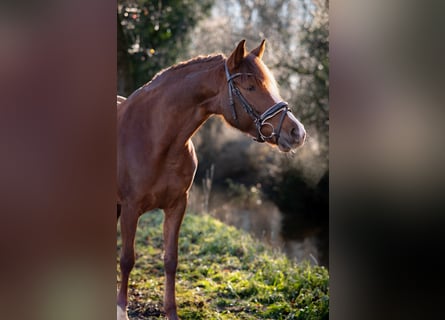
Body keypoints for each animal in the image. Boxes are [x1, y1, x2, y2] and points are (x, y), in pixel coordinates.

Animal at [118, 40, 306, 320]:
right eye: (250, 87)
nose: (297, 132)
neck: (154, 138)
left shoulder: (177, 206)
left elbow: (170, 260)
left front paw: (171, 312)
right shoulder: (131, 208)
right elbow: (127, 259)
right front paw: (121, 311)